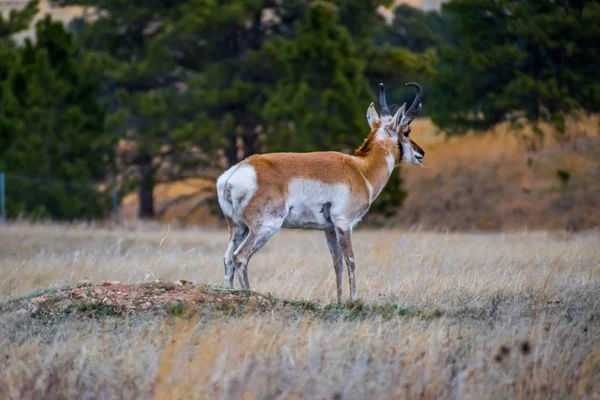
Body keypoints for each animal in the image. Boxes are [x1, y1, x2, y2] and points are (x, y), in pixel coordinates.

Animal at [218, 83, 424, 302]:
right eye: (407, 131)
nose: (421, 153)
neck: (361, 170)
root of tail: (240, 169)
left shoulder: (329, 230)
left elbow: (337, 263)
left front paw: (340, 301)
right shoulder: (344, 224)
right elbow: (351, 259)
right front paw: (354, 300)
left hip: (238, 228)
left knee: (228, 258)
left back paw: (229, 292)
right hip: (265, 228)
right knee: (240, 257)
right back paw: (249, 293)